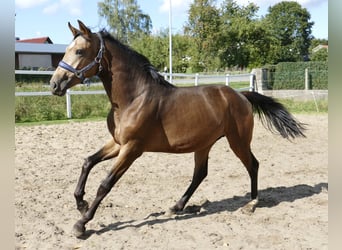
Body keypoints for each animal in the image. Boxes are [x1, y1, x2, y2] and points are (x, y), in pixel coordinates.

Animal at [49, 20, 306, 237]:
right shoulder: (117, 143)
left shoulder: (132, 149)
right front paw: (80, 203)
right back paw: (176, 207)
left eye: (79, 51)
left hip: (238, 141)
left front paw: (82, 224)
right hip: (204, 144)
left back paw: (251, 204)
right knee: (200, 174)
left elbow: (105, 184)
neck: (134, 98)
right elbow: (87, 162)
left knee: (252, 165)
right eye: (66, 51)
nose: (55, 84)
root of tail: (240, 95)